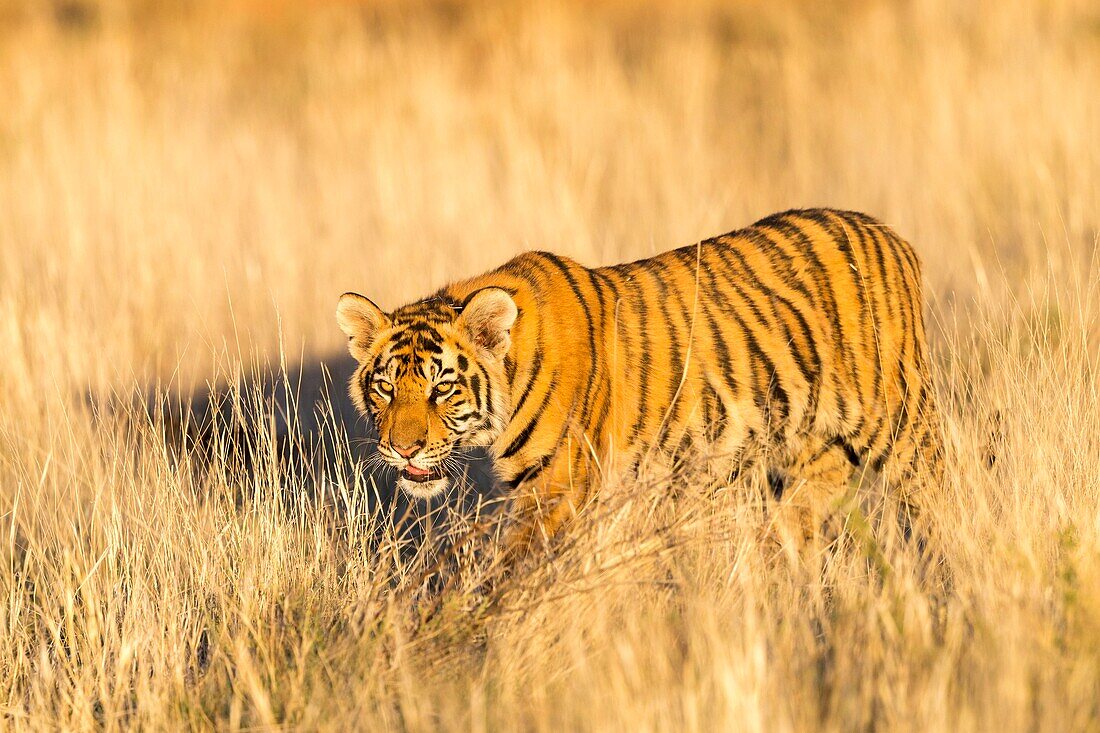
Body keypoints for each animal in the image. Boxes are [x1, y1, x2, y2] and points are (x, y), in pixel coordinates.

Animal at [334, 205, 946, 554]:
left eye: (442, 388)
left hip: (904, 430)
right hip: (801, 464)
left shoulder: (556, 492)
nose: (403, 448)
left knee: (942, 501)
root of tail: (889, 233)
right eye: (385, 388)